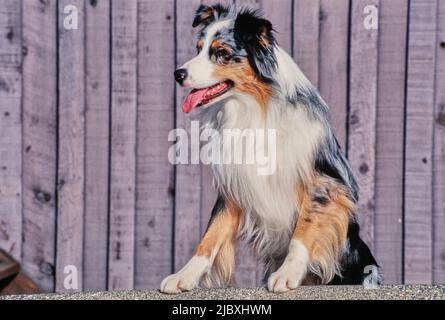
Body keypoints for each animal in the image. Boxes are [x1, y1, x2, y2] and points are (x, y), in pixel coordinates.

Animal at [161, 3, 380, 294]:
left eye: (221, 53)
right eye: (198, 48)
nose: (178, 74)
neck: (255, 107)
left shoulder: (323, 183)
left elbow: (302, 230)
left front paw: (287, 274)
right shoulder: (233, 185)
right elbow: (211, 234)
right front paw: (184, 275)